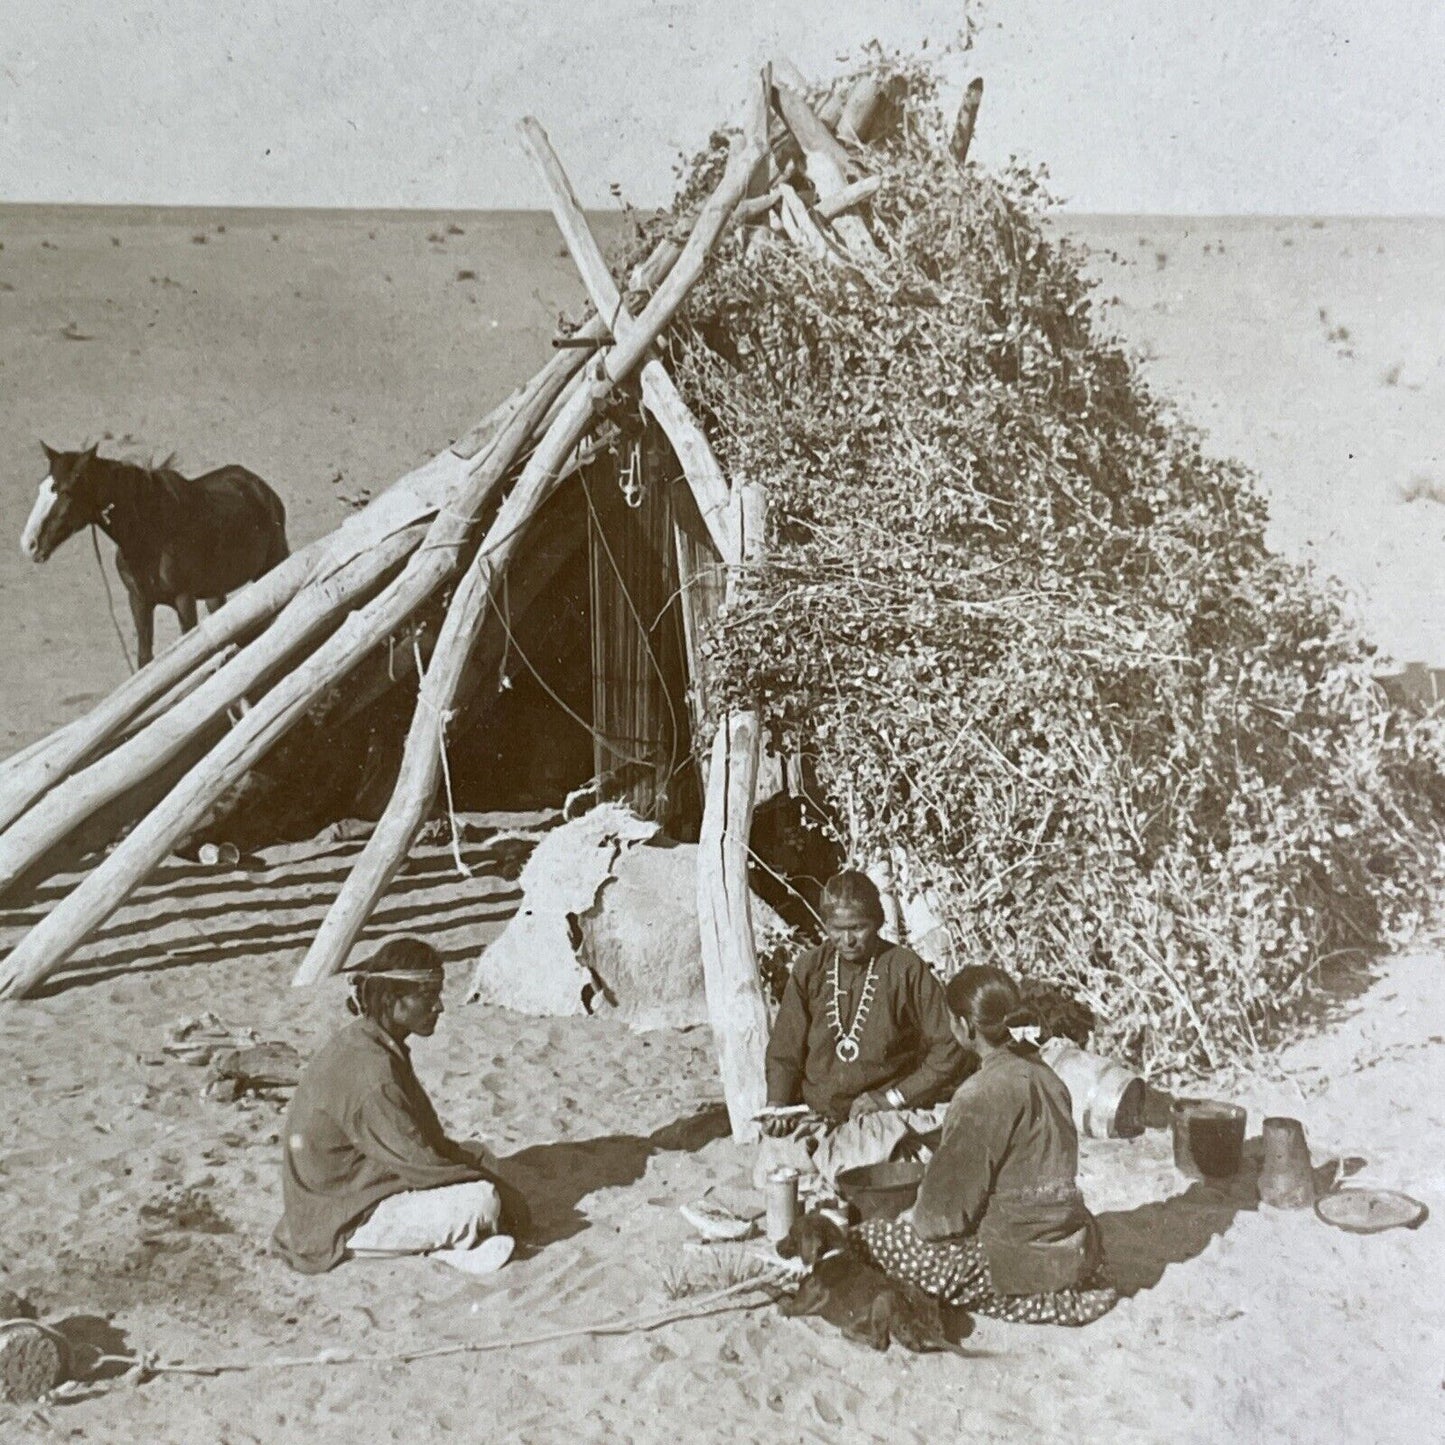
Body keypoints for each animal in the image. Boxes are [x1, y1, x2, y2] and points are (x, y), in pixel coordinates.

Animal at [20, 439, 287, 664]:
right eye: (42, 487)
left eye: (65, 490)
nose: (29, 543)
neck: (149, 534)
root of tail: (259, 486)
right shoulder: (139, 602)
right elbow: (146, 659)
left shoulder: (183, 599)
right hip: (215, 592)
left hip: (273, 564)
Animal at [780, 1208, 971, 1352]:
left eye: (791, 1234)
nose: (776, 1246)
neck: (831, 1253)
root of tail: (928, 1330)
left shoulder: (807, 1296)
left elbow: (791, 1305)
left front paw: (783, 1304)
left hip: (883, 1299)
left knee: (878, 1342)